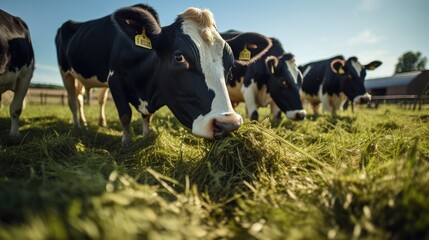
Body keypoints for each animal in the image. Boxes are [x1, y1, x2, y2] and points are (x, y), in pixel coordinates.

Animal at [54, 4, 270, 145]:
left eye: (231, 65)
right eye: (179, 57)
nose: (228, 125)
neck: (146, 89)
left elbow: (146, 117)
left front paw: (146, 136)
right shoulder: (114, 79)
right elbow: (125, 114)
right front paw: (127, 142)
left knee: (86, 99)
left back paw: (91, 123)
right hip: (65, 72)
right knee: (73, 101)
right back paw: (78, 127)